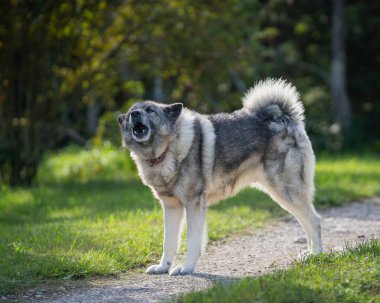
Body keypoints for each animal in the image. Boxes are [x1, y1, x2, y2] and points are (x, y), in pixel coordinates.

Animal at [117, 78, 322, 276]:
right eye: (131, 112)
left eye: (150, 110)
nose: (135, 114)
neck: (166, 150)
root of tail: (284, 117)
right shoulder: (171, 207)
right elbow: (169, 242)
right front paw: (163, 267)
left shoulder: (194, 204)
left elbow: (192, 241)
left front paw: (186, 268)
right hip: (283, 194)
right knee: (306, 222)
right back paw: (309, 253)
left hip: (286, 191)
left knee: (314, 220)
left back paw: (316, 255)